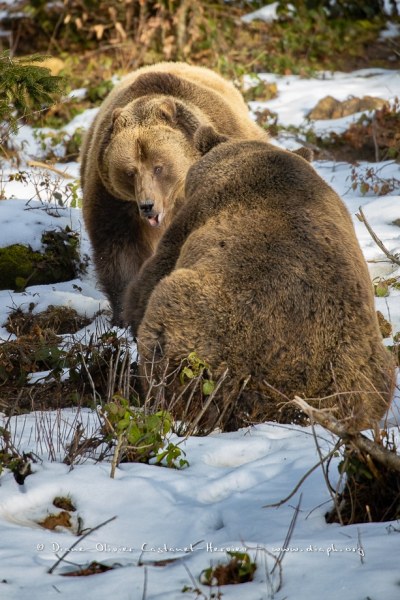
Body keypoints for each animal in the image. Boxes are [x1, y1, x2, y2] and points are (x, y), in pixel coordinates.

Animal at [79, 62, 268, 324]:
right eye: (130, 171)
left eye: (159, 167)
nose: (147, 205)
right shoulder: (113, 201)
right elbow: (119, 253)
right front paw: (123, 314)